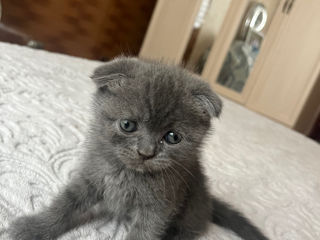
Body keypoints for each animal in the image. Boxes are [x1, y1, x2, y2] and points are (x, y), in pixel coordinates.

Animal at [8, 57, 268, 240]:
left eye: (172, 137)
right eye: (127, 125)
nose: (146, 152)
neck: (128, 174)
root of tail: (209, 201)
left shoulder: (159, 207)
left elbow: (145, 232)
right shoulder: (91, 176)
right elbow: (65, 204)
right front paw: (33, 227)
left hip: (191, 209)